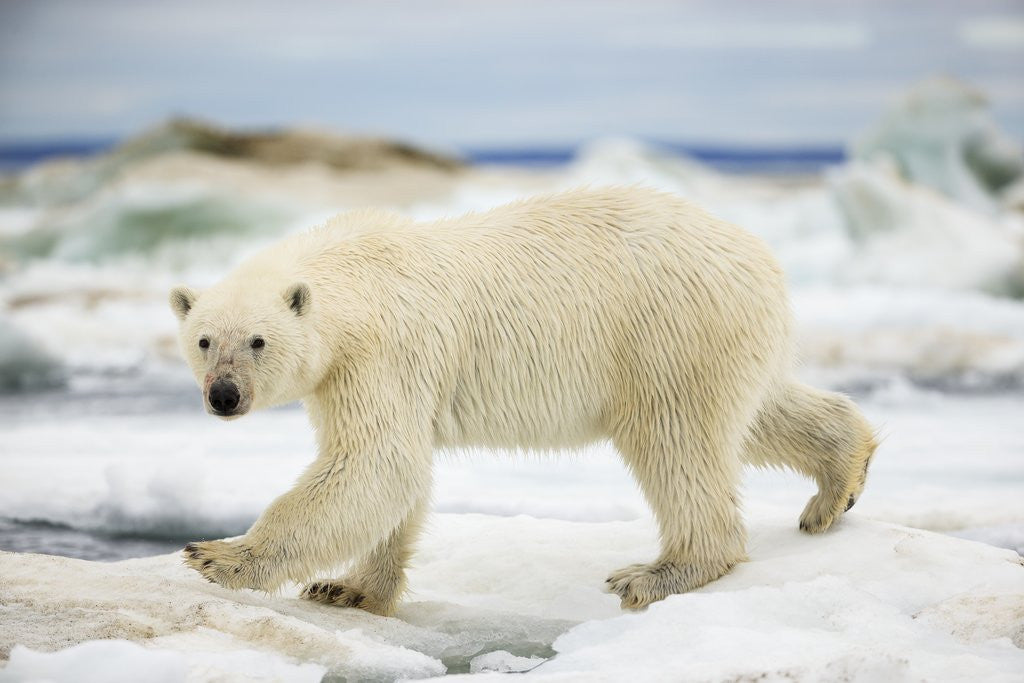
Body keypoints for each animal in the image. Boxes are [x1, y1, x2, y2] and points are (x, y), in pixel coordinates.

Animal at [170, 186, 876, 614]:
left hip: (667, 333)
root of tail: (760, 257)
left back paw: (658, 572)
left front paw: (216, 556)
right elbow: (394, 476)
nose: (224, 396)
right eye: (204, 340)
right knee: (758, 414)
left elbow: (376, 462)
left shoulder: (381, 352)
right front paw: (346, 588)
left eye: (257, 341)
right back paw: (837, 484)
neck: (353, 272)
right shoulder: (344, 373)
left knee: (677, 441)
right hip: (722, 339)